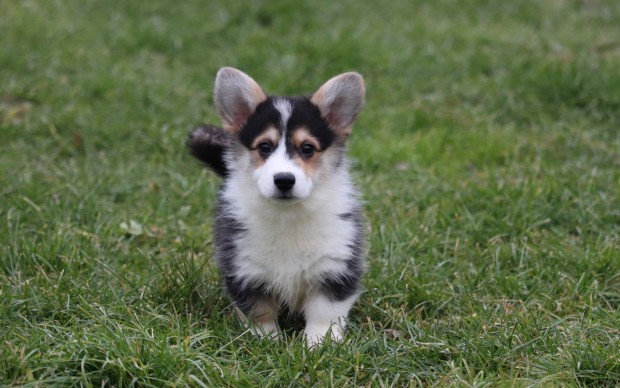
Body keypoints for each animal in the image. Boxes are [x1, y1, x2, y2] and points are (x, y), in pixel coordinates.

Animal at [186, 68, 366, 348]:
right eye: (264, 147)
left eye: (307, 148)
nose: (283, 180)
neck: (287, 215)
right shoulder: (244, 268)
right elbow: (259, 311)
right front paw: (266, 341)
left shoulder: (335, 266)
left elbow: (325, 312)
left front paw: (320, 344)